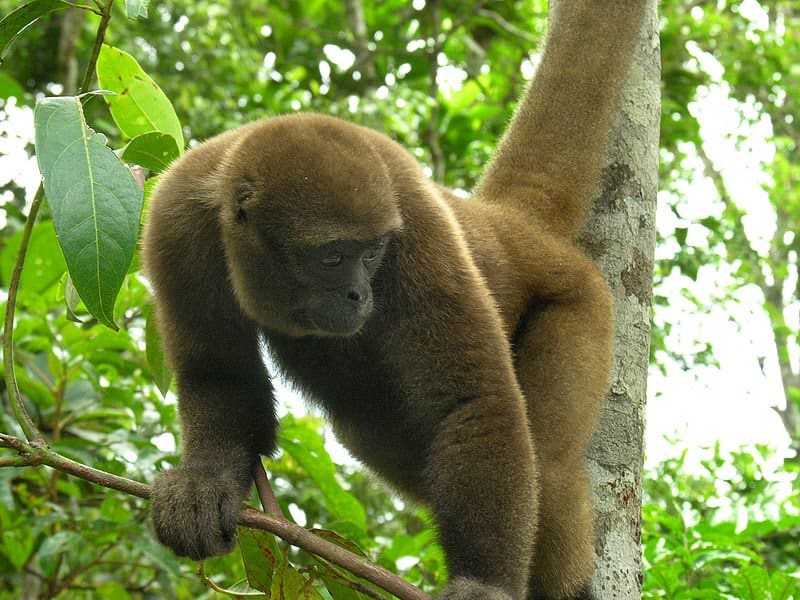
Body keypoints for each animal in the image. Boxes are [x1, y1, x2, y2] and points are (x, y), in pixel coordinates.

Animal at [144, 2, 648, 596]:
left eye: (373, 254)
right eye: (332, 257)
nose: (359, 294)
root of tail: (509, 222)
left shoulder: (412, 212)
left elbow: (474, 401)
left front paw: (484, 583)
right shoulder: (173, 217)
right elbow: (216, 370)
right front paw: (207, 483)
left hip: (579, 303)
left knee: (545, 465)